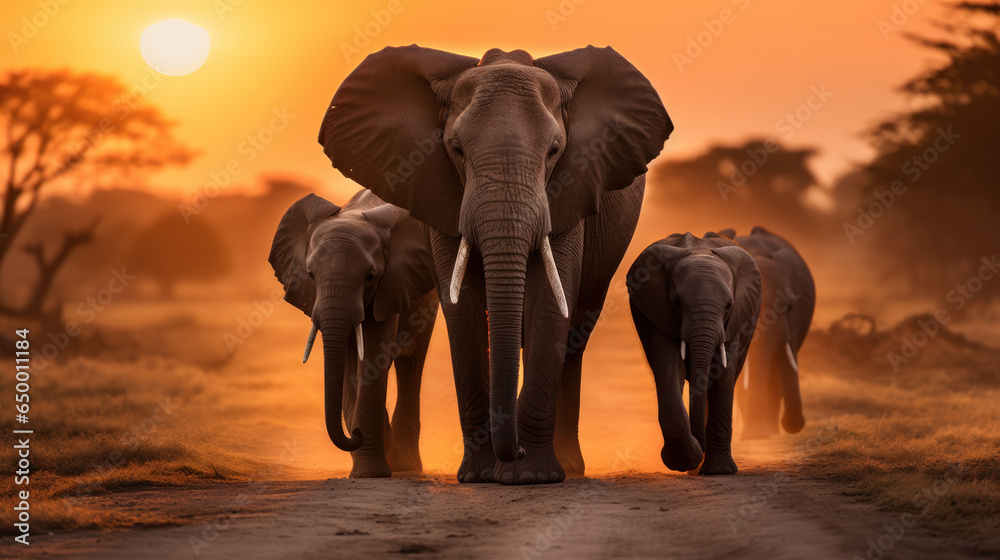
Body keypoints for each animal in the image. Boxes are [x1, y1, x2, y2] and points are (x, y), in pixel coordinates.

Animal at [269, 190, 438, 478]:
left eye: (370, 277)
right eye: (311, 275)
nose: (356, 433)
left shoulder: (389, 287)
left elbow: (372, 357)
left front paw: (371, 472)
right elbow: (349, 367)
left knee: (411, 365)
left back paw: (407, 465)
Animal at [318, 45, 672, 484]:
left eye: (554, 151)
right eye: (457, 150)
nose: (514, 453)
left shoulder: (569, 189)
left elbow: (550, 302)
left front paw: (531, 476)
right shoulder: (441, 194)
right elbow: (463, 309)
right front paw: (481, 475)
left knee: (577, 331)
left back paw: (569, 465)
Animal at [628, 232, 762, 475]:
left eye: (728, 305)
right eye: (678, 303)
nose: (701, 448)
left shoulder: (734, 320)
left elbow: (723, 374)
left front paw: (719, 470)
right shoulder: (660, 311)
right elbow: (669, 366)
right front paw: (686, 460)